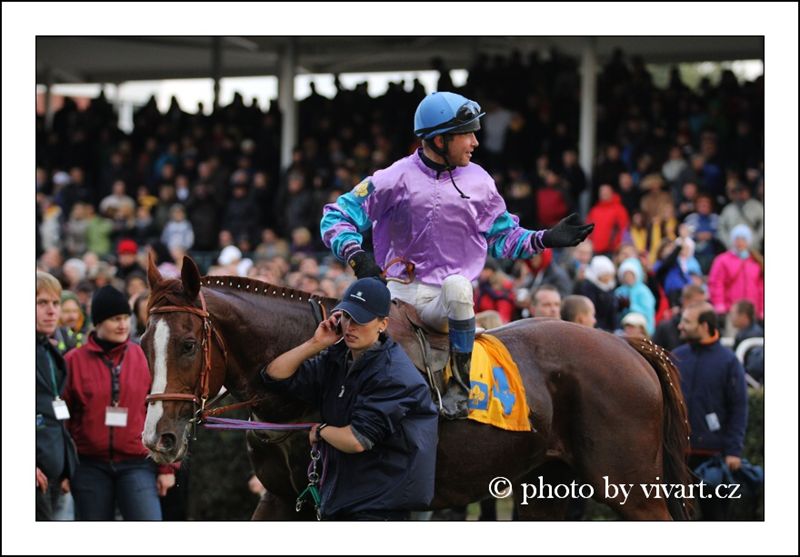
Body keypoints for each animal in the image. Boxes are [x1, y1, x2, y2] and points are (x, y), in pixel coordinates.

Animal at [140, 256, 693, 520]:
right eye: (144, 342)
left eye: (187, 344)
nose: (157, 437)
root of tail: (629, 345)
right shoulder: (281, 497)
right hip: (547, 485)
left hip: (631, 486)